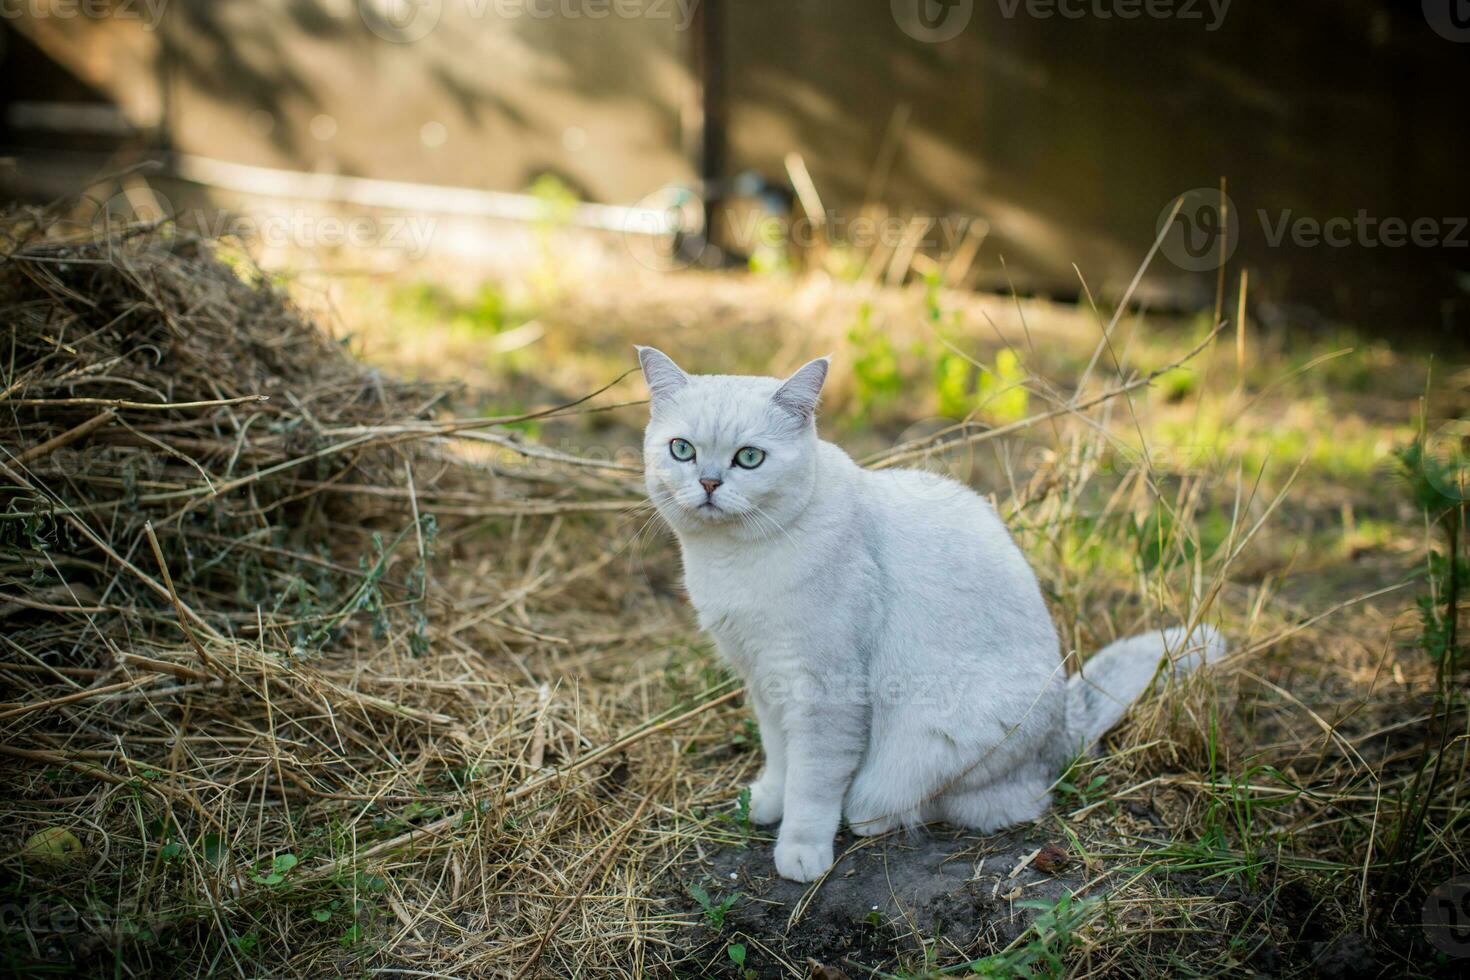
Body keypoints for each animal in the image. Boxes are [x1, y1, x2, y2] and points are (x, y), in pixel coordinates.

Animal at [637, 348, 1223, 887]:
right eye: (682, 450)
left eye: (750, 458)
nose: (709, 483)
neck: (730, 561)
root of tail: (1064, 727)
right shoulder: (765, 681)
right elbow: (781, 757)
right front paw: (768, 803)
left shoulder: (825, 692)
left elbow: (812, 781)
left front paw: (800, 851)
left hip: (934, 745)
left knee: (971, 804)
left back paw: (873, 819)